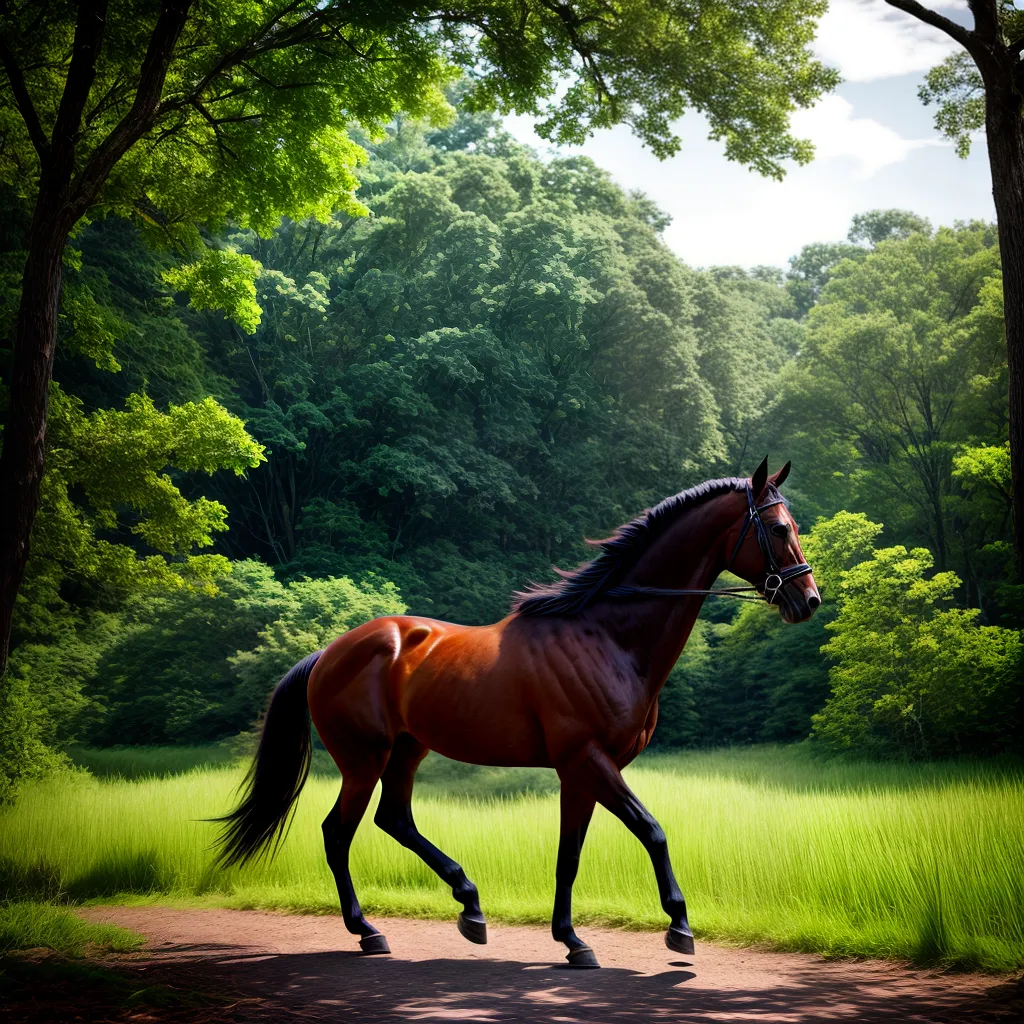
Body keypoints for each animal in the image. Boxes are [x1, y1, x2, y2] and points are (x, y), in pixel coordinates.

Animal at [215, 457, 820, 968]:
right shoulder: (589, 761)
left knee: (395, 820)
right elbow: (652, 831)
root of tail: (328, 653)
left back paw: (470, 906)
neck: (608, 636)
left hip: (408, 751)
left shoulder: (582, 772)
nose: (808, 600)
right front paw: (678, 925)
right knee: (338, 833)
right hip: (363, 760)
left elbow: (569, 855)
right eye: (777, 529)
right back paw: (368, 930)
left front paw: (572, 940)